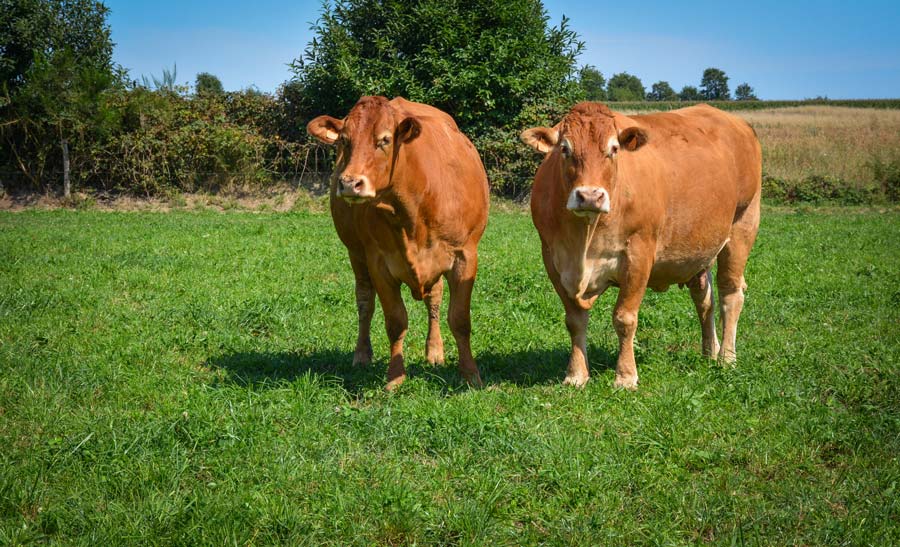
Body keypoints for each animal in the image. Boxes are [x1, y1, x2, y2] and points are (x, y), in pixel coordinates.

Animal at [310, 96, 492, 392]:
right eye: (344, 141)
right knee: (364, 301)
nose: (349, 183)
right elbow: (395, 321)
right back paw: (362, 355)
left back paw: (434, 351)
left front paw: (471, 375)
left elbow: (460, 319)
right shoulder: (378, 262)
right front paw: (394, 377)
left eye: (384, 139)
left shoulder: (465, 256)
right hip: (356, 254)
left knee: (434, 300)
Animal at [520, 100, 760, 388]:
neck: (584, 241)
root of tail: (737, 123)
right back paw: (709, 352)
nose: (589, 196)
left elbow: (625, 318)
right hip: (699, 249)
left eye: (614, 149)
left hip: (743, 224)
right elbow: (575, 320)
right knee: (704, 299)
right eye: (565, 149)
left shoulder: (639, 254)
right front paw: (576, 374)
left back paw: (726, 357)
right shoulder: (553, 258)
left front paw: (625, 376)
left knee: (730, 294)